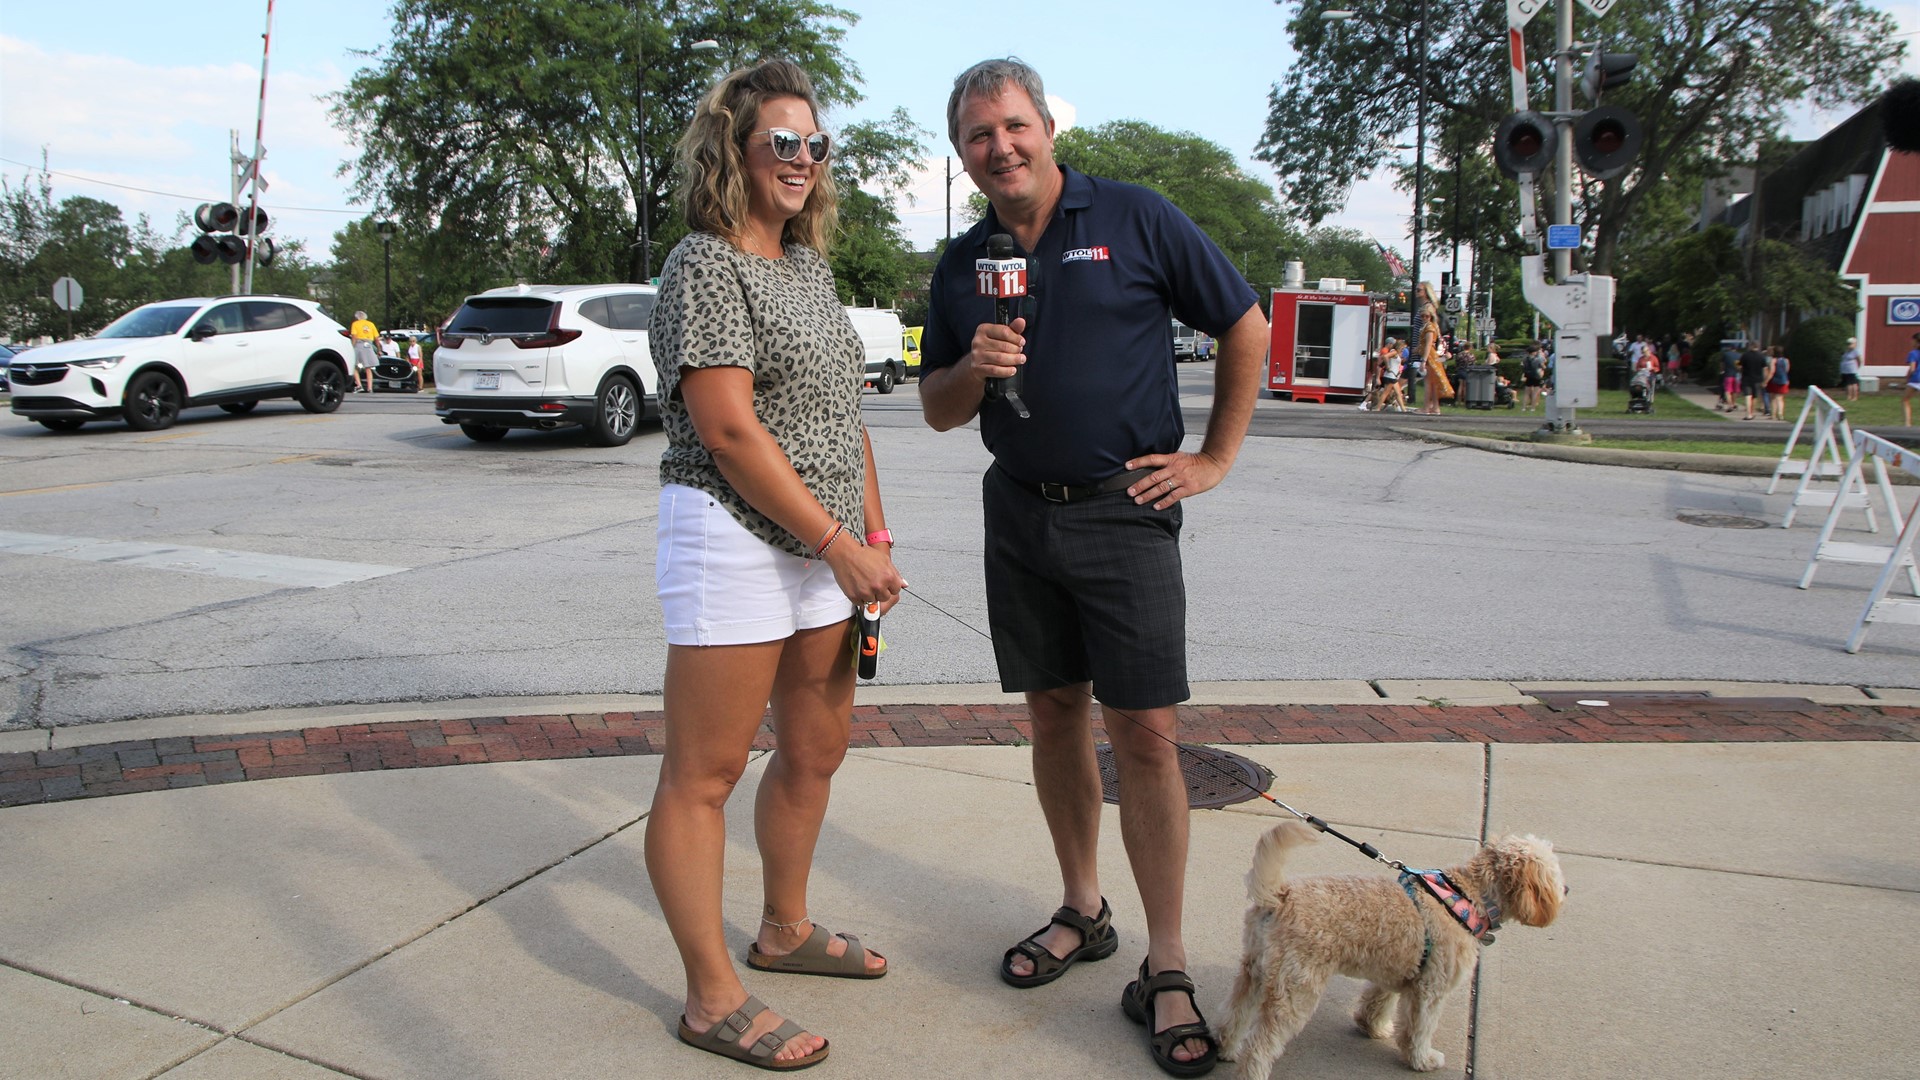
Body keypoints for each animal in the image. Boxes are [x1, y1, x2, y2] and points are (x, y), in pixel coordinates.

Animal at [1221, 818, 1566, 1068]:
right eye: (1553, 872)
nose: (1567, 889)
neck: (1466, 897)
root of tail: (1281, 895)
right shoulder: (1431, 989)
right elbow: (1419, 1029)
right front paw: (1423, 1060)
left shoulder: (1395, 971)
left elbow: (1377, 1002)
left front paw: (1372, 1027)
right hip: (1296, 988)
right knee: (1260, 1046)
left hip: (1254, 972)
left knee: (1233, 1017)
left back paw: (1226, 1049)